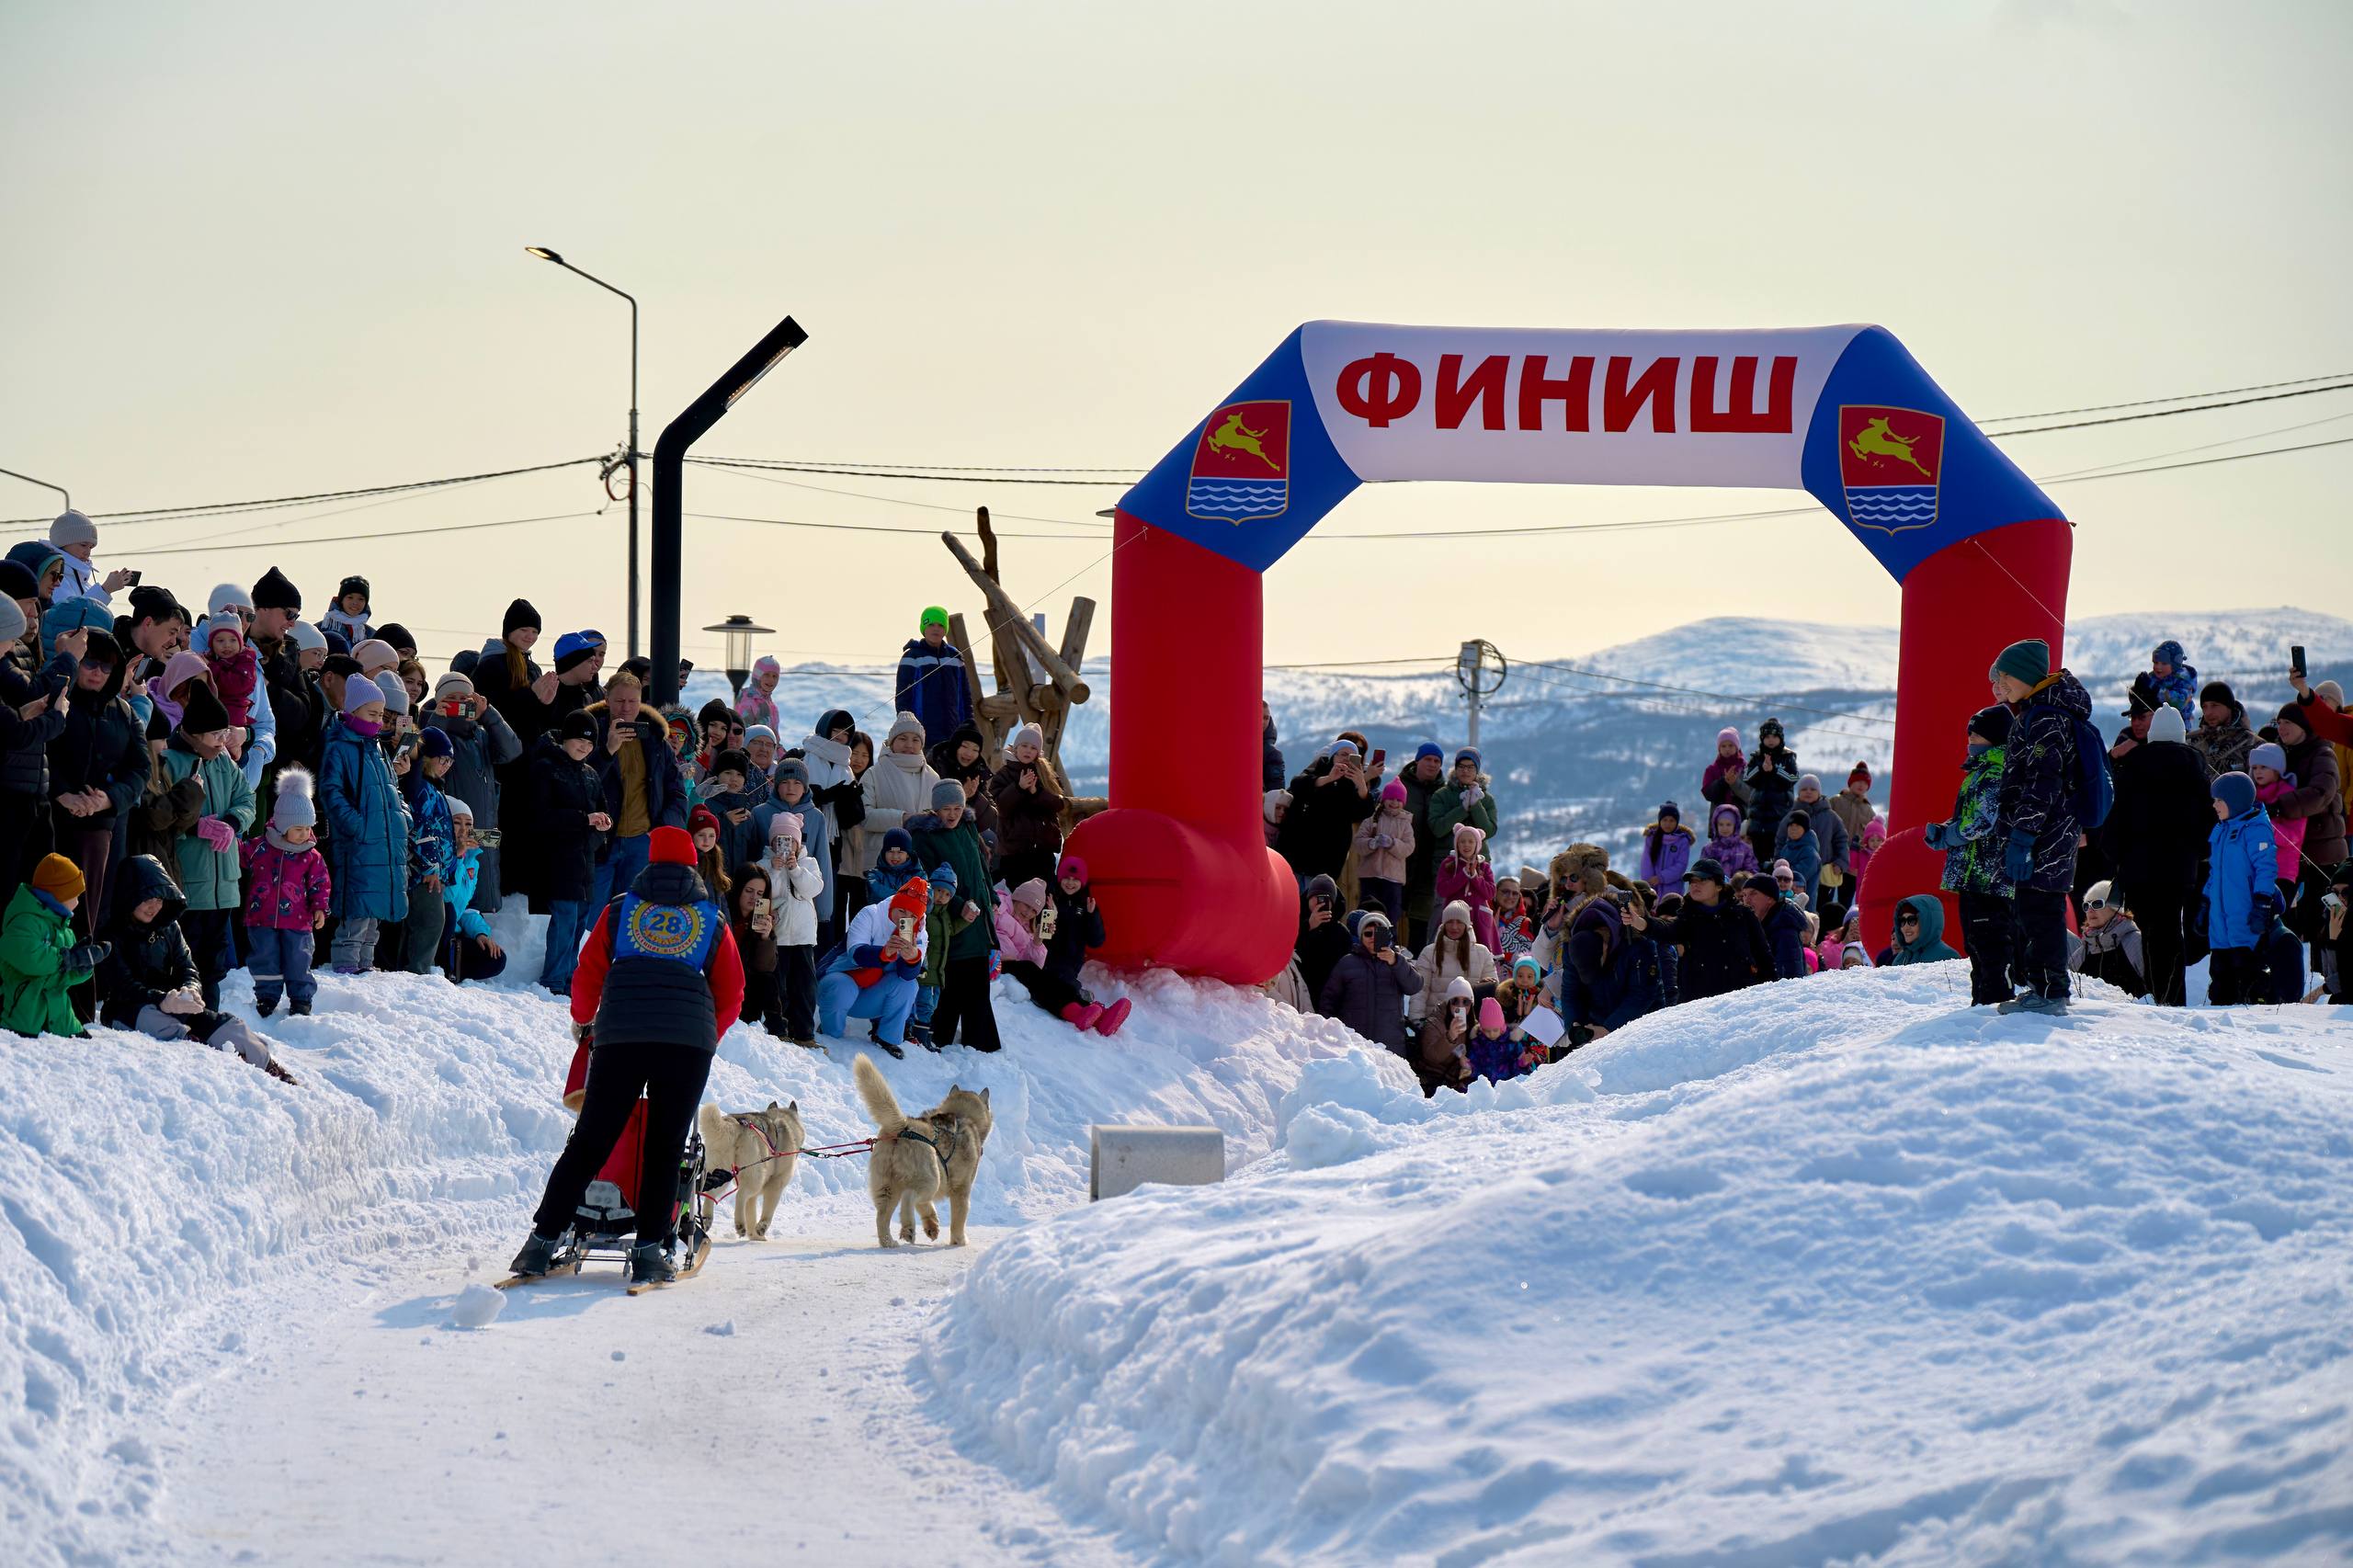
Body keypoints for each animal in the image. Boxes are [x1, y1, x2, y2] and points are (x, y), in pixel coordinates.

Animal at [696, 1100, 803, 1241]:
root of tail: (733, 1123)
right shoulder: (776, 1184)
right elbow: (767, 1213)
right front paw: (761, 1230)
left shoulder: (754, 1197)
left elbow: (751, 1213)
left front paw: (754, 1236)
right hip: (755, 1177)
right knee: (740, 1195)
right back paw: (740, 1224)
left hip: (721, 1170)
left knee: (711, 1194)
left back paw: (707, 1219)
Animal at [850, 1054, 993, 1248]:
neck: (961, 1115)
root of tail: (903, 1125)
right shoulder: (961, 1190)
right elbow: (958, 1220)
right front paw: (959, 1241)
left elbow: (926, 1206)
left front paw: (932, 1226)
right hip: (931, 1179)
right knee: (909, 1197)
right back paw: (908, 1228)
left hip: (887, 1187)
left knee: (882, 1217)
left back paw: (889, 1242)